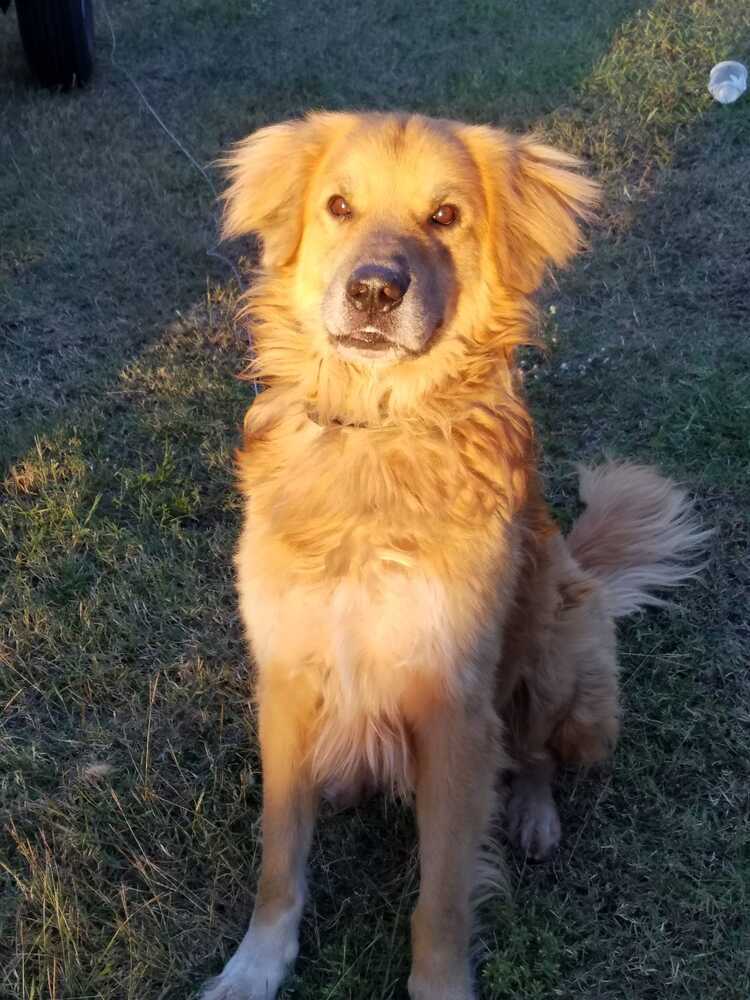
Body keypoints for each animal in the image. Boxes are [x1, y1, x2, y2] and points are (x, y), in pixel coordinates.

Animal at [203, 113, 708, 1000]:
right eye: (338, 206)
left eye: (445, 217)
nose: (374, 291)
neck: (377, 435)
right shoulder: (286, 679)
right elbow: (278, 855)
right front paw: (255, 965)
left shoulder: (453, 709)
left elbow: (440, 894)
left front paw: (438, 984)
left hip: (558, 655)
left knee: (535, 753)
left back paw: (534, 816)